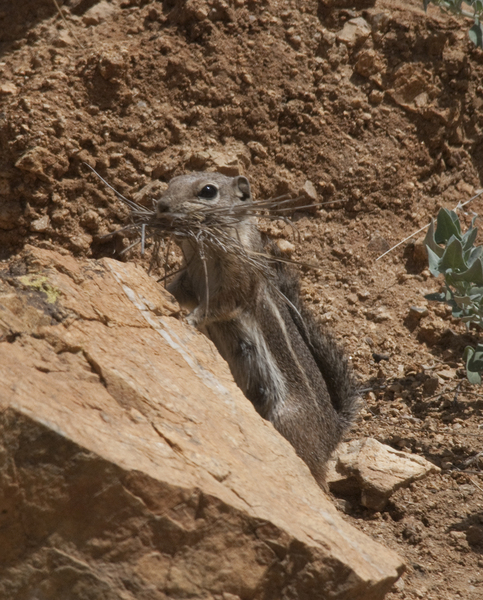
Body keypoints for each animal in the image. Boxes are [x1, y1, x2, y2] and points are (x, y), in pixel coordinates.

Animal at [154, 172, 360, 488]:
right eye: (172, 181)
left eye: (208, 191)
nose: (162, 206)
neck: (206, 255)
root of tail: (334, 433)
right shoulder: (188, 280)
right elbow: (175, 290)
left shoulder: (235, 288)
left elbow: (214, 308)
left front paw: (188, 319)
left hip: (287, 422)